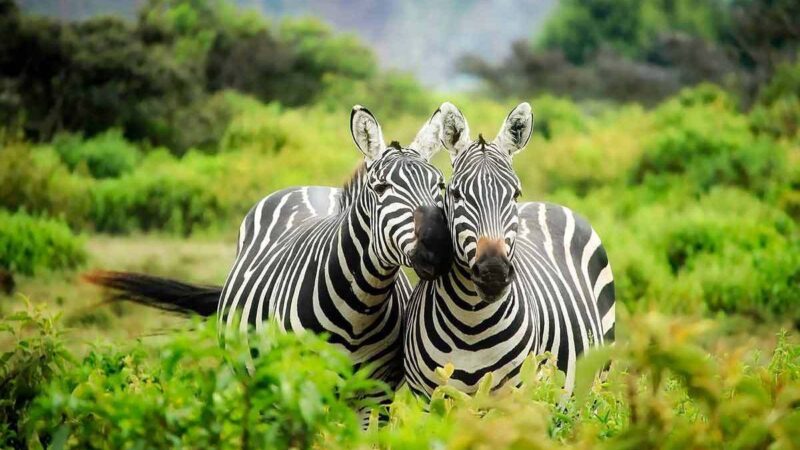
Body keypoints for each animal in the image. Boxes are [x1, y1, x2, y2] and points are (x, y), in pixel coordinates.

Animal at [86, 106, 456, 408]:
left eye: (440, 186)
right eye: (381, 189)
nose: (438, 248)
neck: (359, 309)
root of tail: (309, 187)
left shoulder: (375, 395)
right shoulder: (300, 386)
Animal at [404, 103, 616, 398]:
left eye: (515, 194)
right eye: (455, 194)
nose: (493, 272)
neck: (470, 323)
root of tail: (548, 203)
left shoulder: (514, 395)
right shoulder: (427, 398)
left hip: (597, 381)